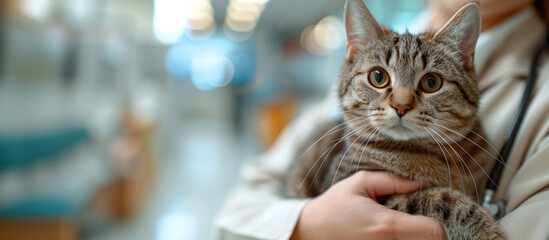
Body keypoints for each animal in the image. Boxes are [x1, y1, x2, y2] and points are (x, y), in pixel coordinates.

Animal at [286, 0, 506, 239]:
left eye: (431, 82)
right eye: (378, 77)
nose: (401, 106)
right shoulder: (349, 185)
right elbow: (439, 199)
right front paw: (483, 228)